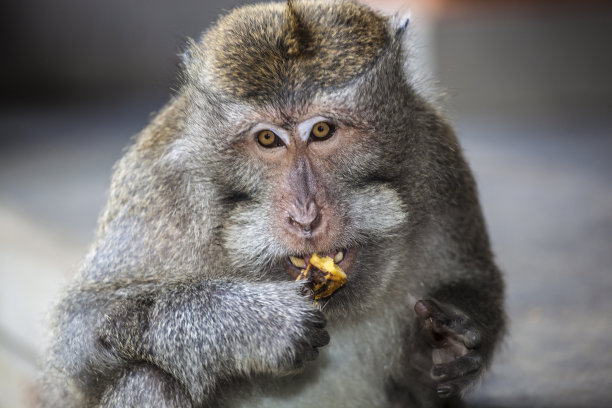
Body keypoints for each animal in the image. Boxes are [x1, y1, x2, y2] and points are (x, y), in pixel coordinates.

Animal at [40, 1, 504, 406]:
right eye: (267, 139)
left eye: (322, 130)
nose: (305, 216)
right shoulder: (162, 182)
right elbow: (79, 330)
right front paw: (249, 324)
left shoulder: (435, 151)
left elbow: (473, 279)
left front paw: (445, 343)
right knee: (148, 376)